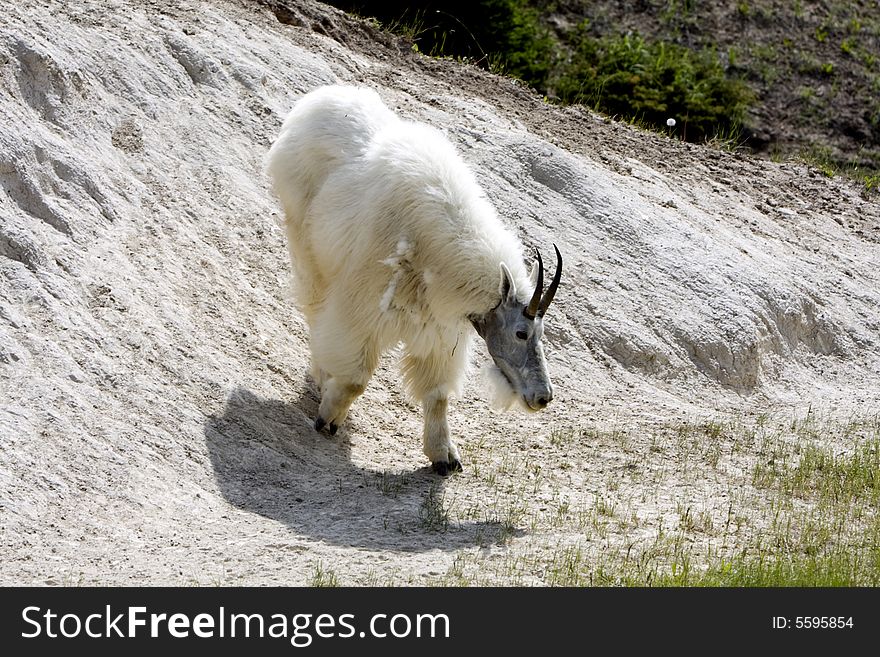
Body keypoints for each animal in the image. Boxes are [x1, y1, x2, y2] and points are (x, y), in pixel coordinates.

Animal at [264, 86, 564, 476]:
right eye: (521, 333)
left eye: (541, 334)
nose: (543, 397)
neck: (440, 246)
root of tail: (318, 100)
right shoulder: (362, 305)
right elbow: (356, 376)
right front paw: (328, 417)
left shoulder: (440, 328)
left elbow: (437, 394)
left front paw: (444, 456)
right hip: (306, 240)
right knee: (316, 306)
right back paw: (321, 372)